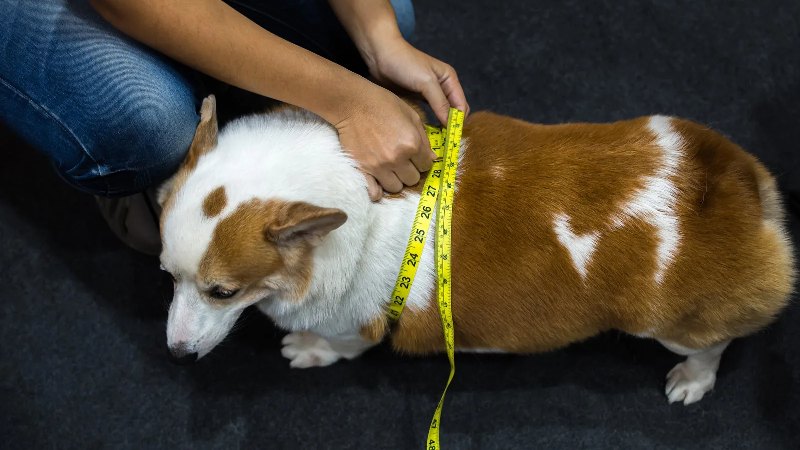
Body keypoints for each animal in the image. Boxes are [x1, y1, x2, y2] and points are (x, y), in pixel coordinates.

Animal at [156, 95, 792, 404]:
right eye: (166, 275)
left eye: (223, 292)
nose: (177, 356)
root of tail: (734, 184)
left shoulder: (354, 326)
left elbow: (339, 346)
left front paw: (306, 350)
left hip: (670, 326)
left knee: (715, 343)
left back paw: (691, 380)